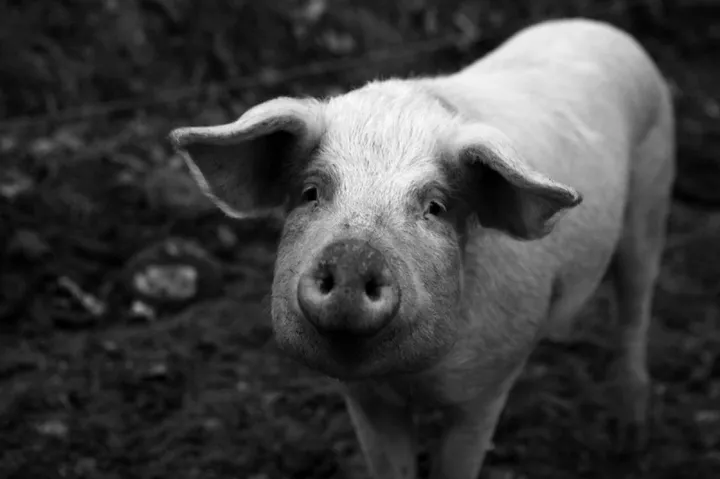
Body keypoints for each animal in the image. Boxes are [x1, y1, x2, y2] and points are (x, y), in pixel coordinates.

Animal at [170, 18, 675, 479]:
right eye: (312, 192)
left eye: (435, 206)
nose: (353, 257)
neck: (412, 380)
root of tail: (601, 27)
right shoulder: (366, 400)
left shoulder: (485, 392)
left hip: (652, 197)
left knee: (636, 304)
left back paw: (631, 439)